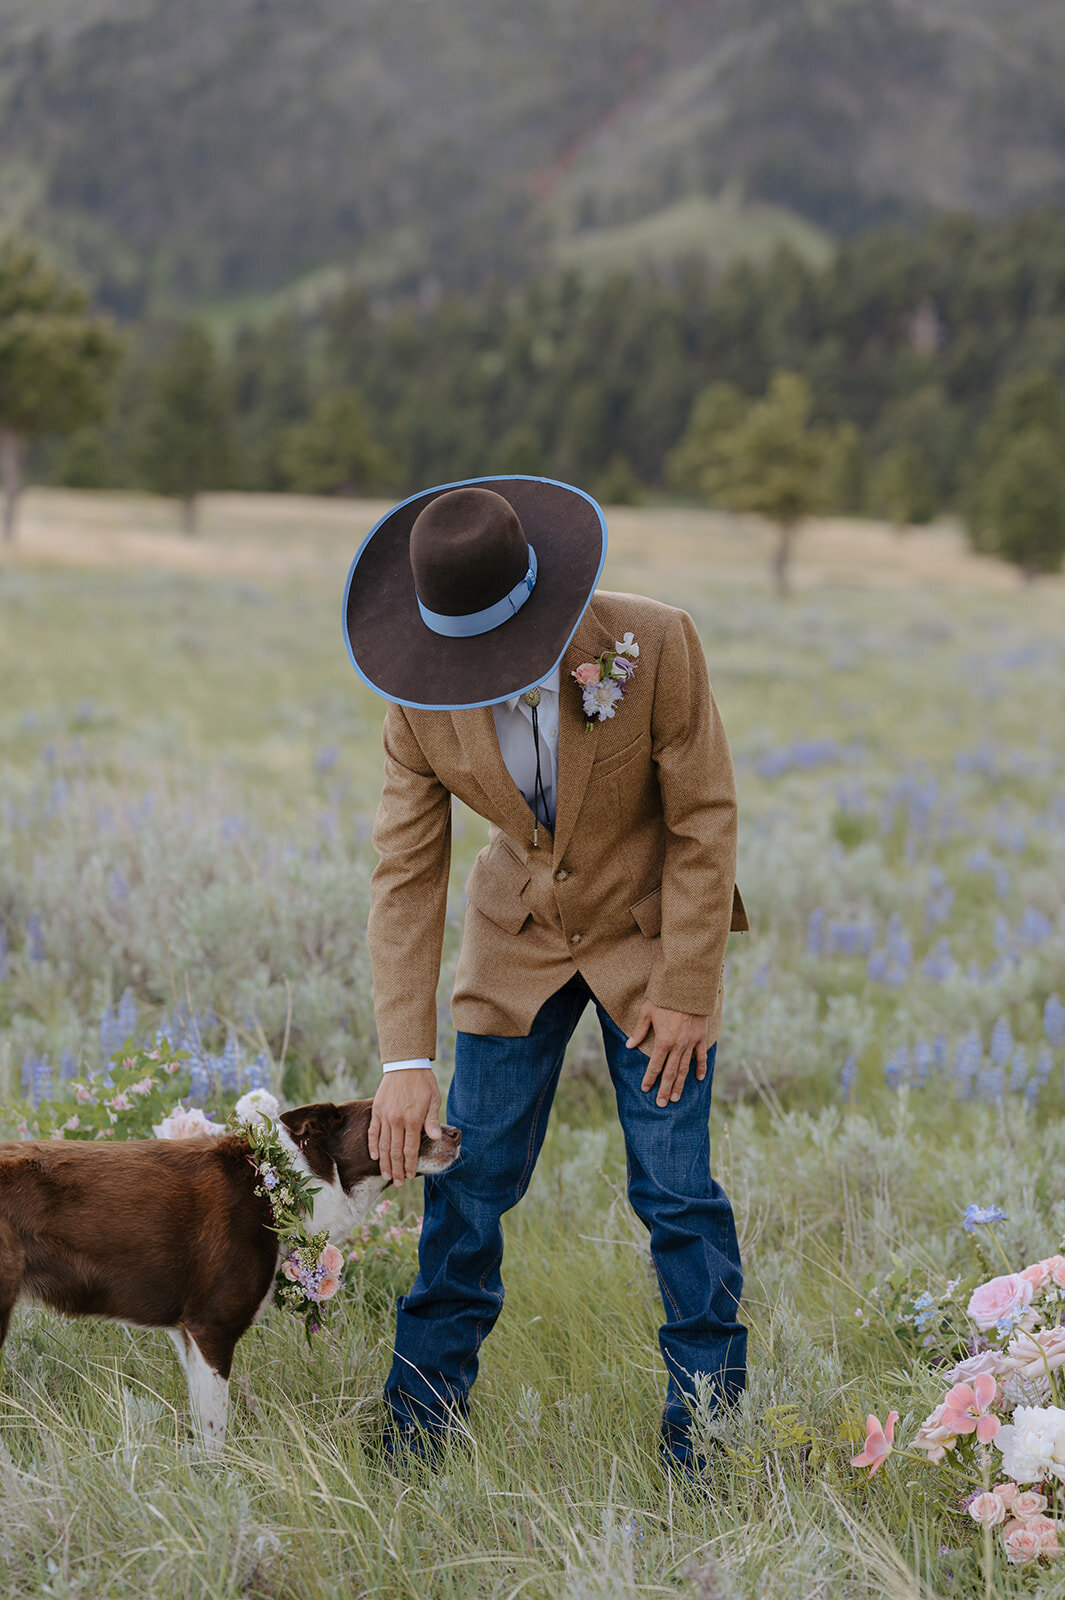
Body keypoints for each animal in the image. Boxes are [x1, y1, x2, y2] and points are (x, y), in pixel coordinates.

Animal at [0, 1100, 457, 1452]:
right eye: (406, 1119)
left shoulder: (190, 1335)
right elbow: (215, 1433)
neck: (286, 1179)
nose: (457, 1133)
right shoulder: (211, 1327)